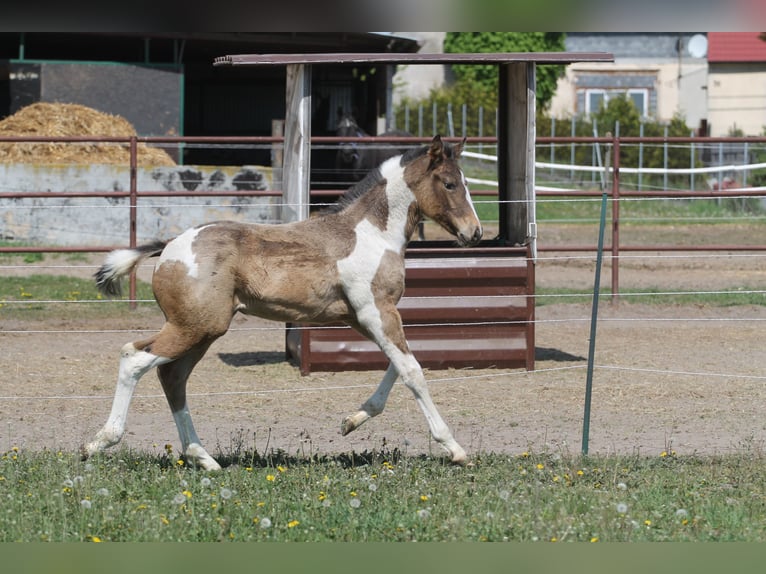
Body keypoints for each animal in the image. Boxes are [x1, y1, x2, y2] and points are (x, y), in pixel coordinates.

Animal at [81, 135, 483, 471]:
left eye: (466, 182)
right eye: (449, 183)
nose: (475, 232)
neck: (371, 234)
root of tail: (169, 247)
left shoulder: (364, 317)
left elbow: (397, 367)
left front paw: (350, 422)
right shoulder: (376, 312)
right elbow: (412, 371)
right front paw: (455, 448)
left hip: (200, 330)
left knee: (170, 375)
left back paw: (203, 458)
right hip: (193, 327)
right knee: (135, 360)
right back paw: (99, 443)